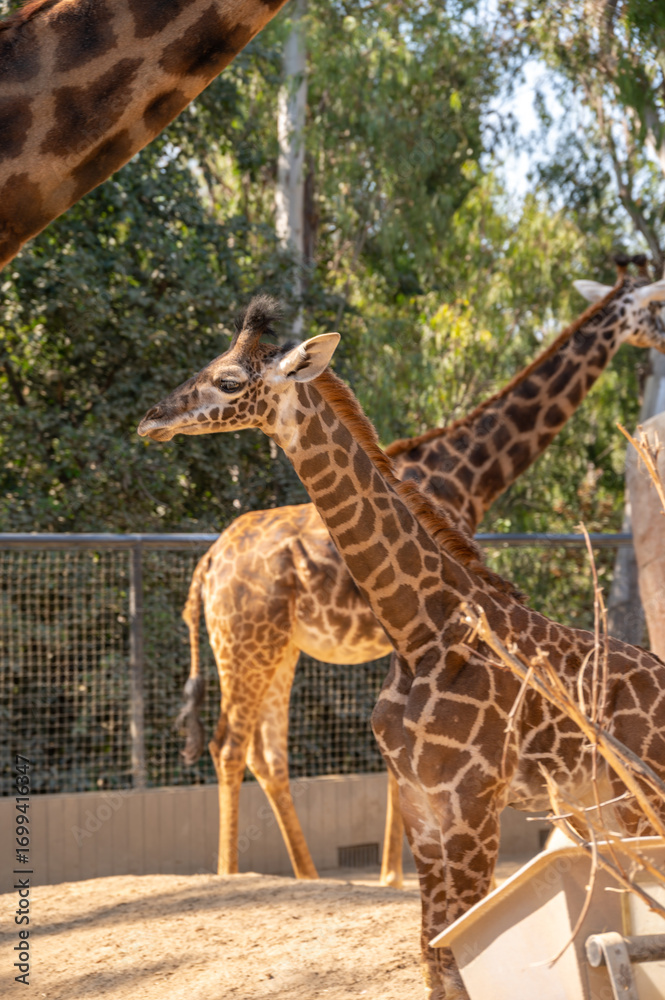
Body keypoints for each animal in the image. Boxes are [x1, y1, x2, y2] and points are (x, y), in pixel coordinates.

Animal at [139, 293, 665, 999]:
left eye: (226, 380)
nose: (152, 419)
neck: (419, 629)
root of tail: (207, 564)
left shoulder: (470, 806)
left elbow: (454, 952)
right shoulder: (424, 803)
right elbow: (433, 952)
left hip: (630, 802)